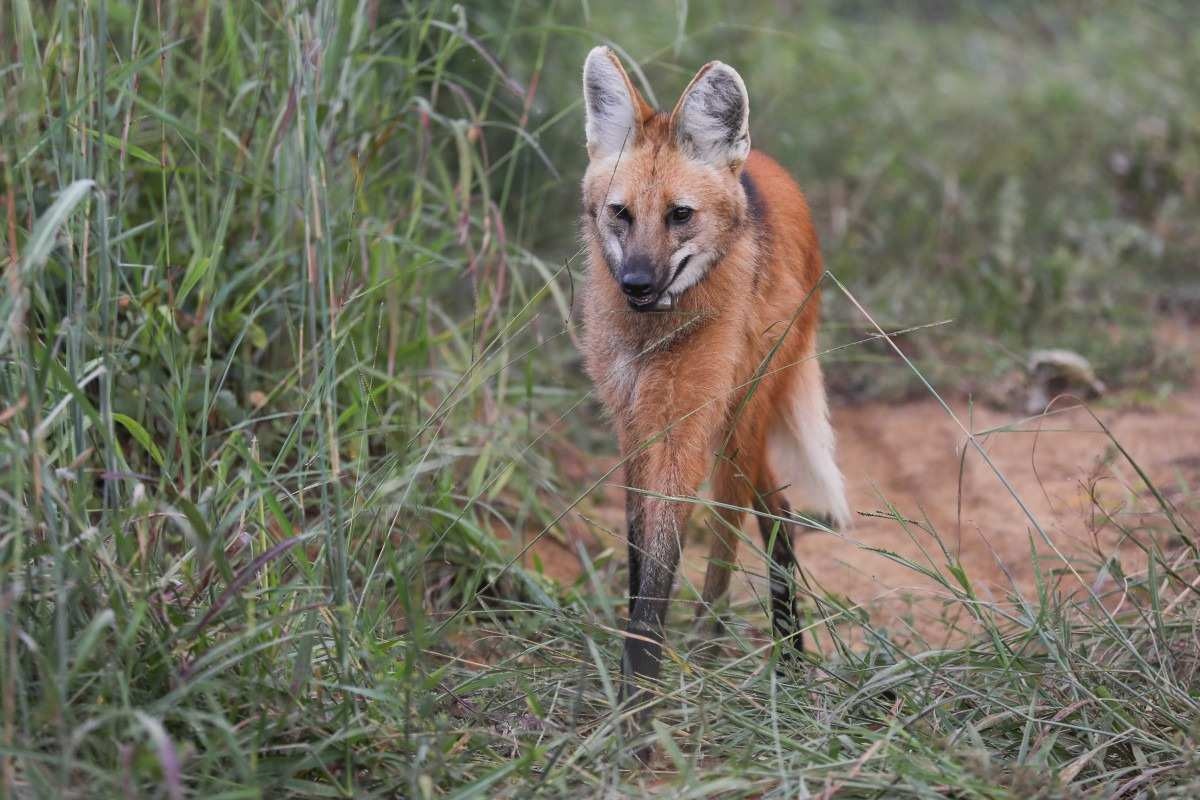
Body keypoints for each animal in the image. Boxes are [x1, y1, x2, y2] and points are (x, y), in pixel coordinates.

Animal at [576, 47, 849, 714]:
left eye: (680, 215)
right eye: (620, 213)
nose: (637, 284)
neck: (650, 339)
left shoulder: (685, 428)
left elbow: (662, 572)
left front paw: (639, 706)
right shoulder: (634, 425)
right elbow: (639, 554)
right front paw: (632, 691)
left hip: (740, 416)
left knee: (747, 523)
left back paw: (745, 654)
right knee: (770, 509)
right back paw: (766, 651)